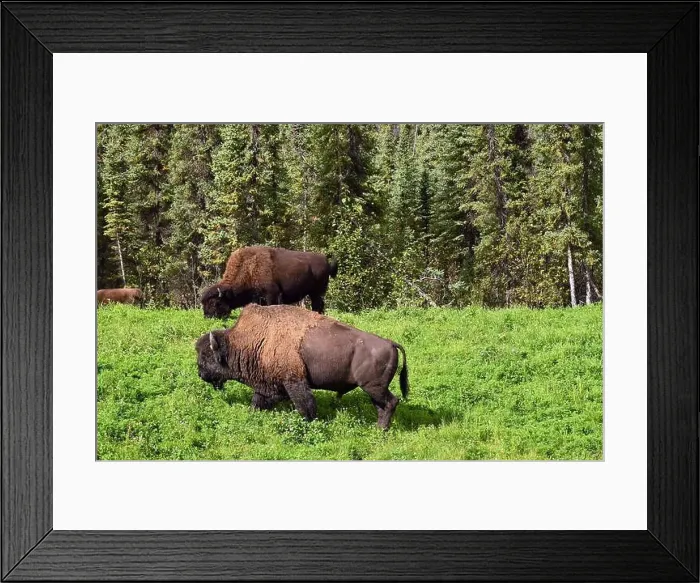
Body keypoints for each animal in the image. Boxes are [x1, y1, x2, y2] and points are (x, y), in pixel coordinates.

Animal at [195, 304, 408, 430]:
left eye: (206, 355)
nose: (200, 373)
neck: (256, 340)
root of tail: (391, 343)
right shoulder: (270, 386)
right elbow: (258, 401)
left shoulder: (294, 382)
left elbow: (305, 405)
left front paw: (310, 423)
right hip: (373, 390)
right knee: (382, 406)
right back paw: (379, 429)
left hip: (373, 387)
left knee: (391, 402)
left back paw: (382, 430)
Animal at [200, 246, 337, 318]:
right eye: (204, 303)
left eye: (216, 303)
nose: (207, 316)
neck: (249, 268)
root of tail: (326, 260)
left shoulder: (272, 294)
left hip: (316, 293)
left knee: (317, 305)